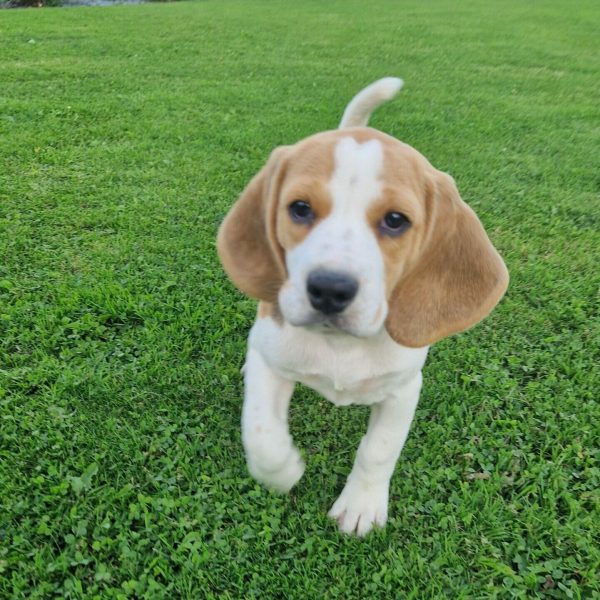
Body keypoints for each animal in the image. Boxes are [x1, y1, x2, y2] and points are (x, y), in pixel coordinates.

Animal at [216, 77, 506, 536]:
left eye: (395, 220)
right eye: (300, 208)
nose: (329, 289)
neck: (341, 345)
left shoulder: (404, 389)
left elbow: (378, 450)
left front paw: (361, 505)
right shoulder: (272, 363)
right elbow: (261, 431)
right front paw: (283, 470)